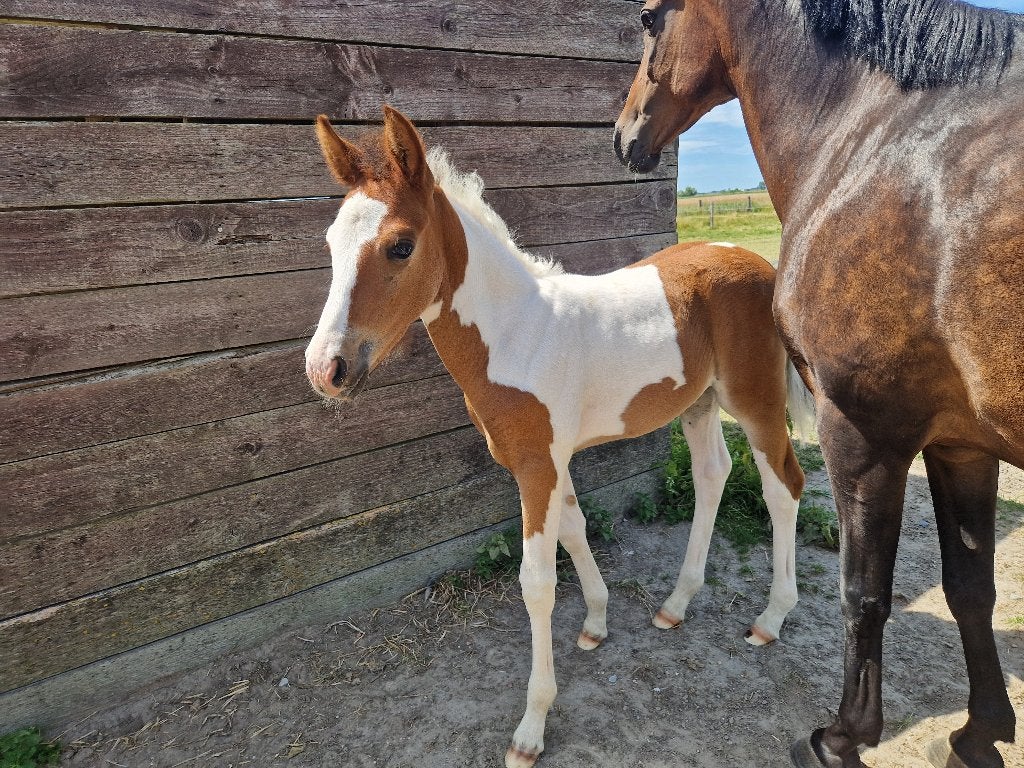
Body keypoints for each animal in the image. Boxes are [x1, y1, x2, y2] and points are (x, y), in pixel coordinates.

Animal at [304, 106, 811, 767]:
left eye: (400, 246)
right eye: (331, 244)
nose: (325, 369)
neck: (516, 335)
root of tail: (760, 263)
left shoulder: (536, 467)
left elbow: (538, 582)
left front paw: (532, 725)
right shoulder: (548, 459)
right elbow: (575, 527)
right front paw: (596, 622)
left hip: (756, 403)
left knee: (783, 487)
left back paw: (771, 618)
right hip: (699, 405)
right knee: (712, 476)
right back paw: (675, 606)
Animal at [613, 2, 1024, 767]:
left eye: (649, 19)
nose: (623, 136)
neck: (866, 138)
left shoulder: (864, 431)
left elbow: (862, 591)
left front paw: (842, 736)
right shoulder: (959, 444)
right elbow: (968, 588)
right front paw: (979, 731)